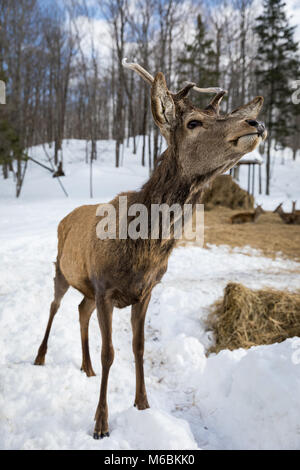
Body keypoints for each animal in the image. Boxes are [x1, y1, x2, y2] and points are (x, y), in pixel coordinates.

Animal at [33, 59, 268, 440]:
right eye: (193, 122)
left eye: (222, 113)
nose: (256, 123)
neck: (142, 248)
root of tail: (65, 217)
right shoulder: (105, 289)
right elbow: (110, 352)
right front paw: (101, 424)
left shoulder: (143, 292)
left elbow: (138, 347)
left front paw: (142, 405)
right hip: (61, 271)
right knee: (54, 307)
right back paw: (39, 357)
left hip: (86, 287)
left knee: (80, 311)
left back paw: (85, 368)